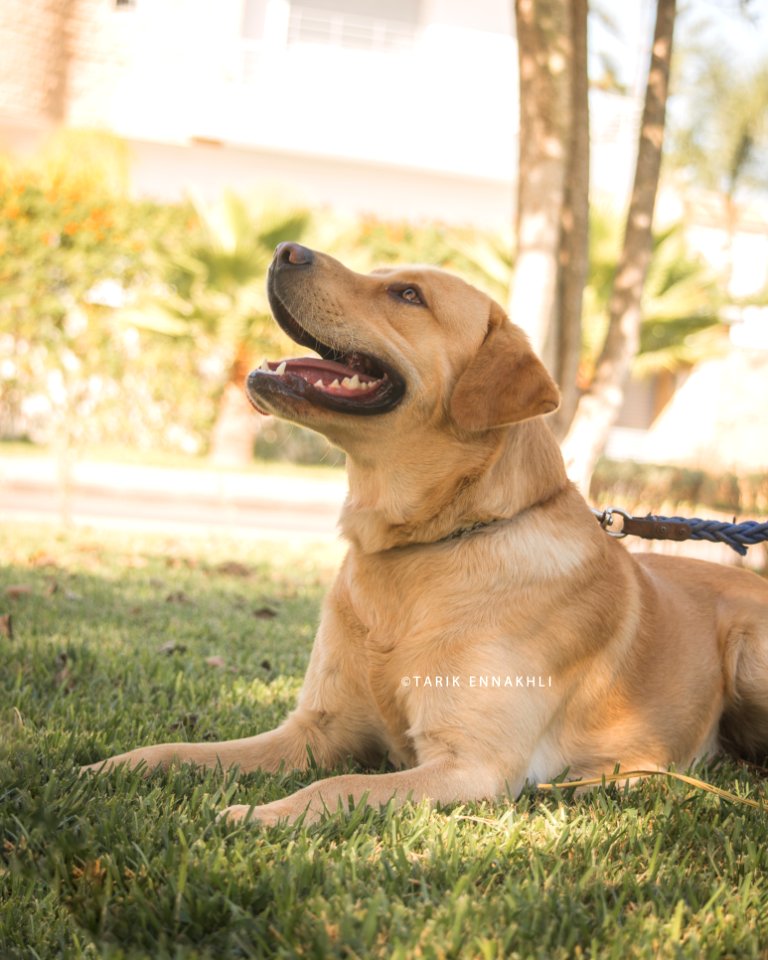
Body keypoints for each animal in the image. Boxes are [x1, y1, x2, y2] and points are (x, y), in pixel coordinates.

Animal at [84, 242, 768, 824]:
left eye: (408, 295)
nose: (284, 250)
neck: (419, 546)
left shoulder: (470, 765)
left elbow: (336, 785)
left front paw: (261, 814)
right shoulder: (315, 729)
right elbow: (192, 751)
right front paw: (117, 765)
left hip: (749, 653)